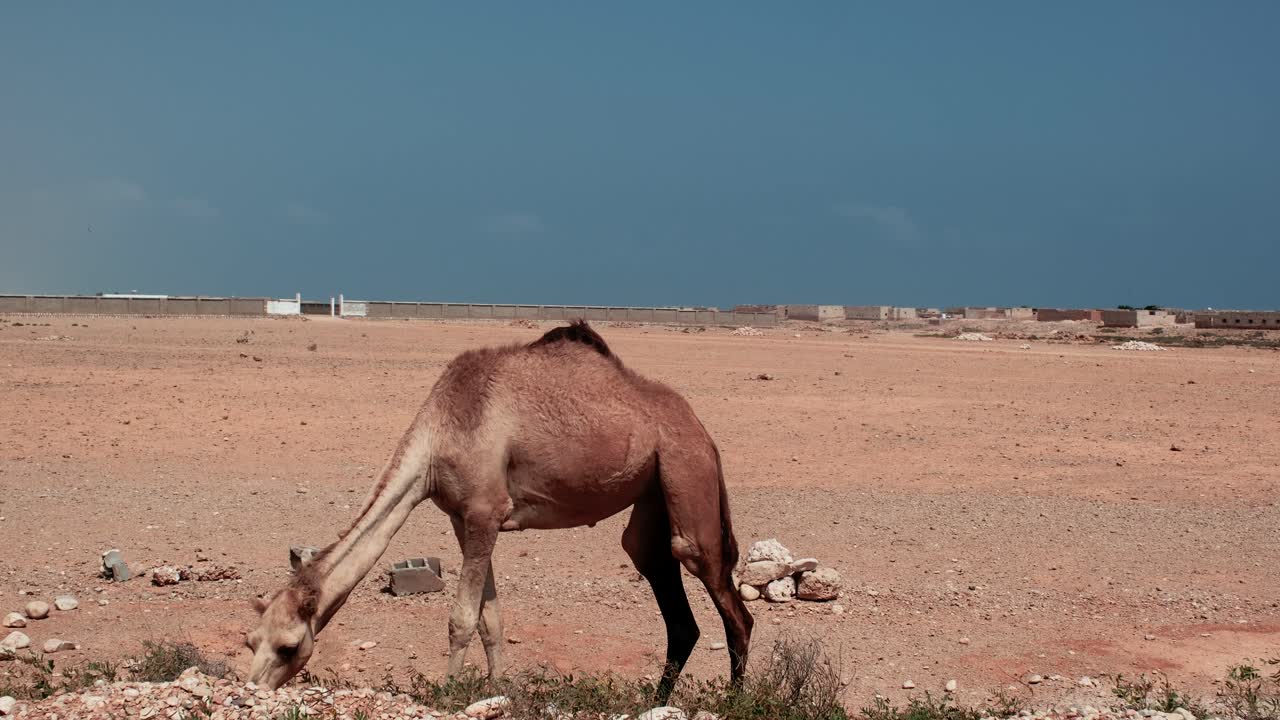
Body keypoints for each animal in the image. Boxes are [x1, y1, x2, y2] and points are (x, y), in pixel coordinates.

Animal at [246, 320, 754, 702]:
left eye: (289, 646)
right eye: (251, 639)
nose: (251, 689)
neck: (440, 435)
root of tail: (702, 431)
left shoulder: (485, 512)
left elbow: (461, 618)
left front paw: (448, 692)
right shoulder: (464, 516)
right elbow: (490, 620)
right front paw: (497, 686)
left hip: (687, 472)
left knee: (725, 597)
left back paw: (735, 700)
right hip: (653, 492)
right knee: (661, 581)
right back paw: (656, 700)